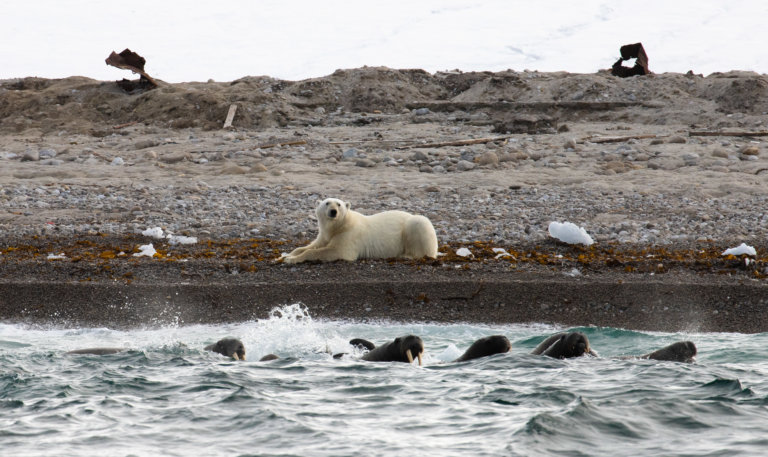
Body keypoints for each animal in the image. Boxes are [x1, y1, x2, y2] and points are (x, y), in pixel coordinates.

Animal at [282, 198, 438, 263]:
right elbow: (311, 246)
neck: (340, 225)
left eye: (338, 204)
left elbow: (336, 251)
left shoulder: (349, 235)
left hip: (416, 225)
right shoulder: (325, 235)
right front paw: (286, 255)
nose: (333, 211)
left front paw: (290, 260)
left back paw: (406, 255)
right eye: (327, 203)